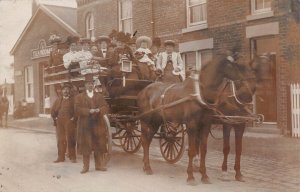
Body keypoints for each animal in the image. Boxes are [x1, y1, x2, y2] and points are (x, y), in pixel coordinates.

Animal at [137, 51, 251, 184]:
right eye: (231, 65)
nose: (245, 83)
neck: (200, 93)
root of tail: (143, 91)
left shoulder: (206, 125)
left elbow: (203, 149)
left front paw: (204, 176)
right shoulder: (192, 125)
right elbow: (192, 150)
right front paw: (191, 176)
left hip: (156, 121)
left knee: (148, 141)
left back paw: (146, 165)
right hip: (145, 121)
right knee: (145, 141)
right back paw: (147, 167)